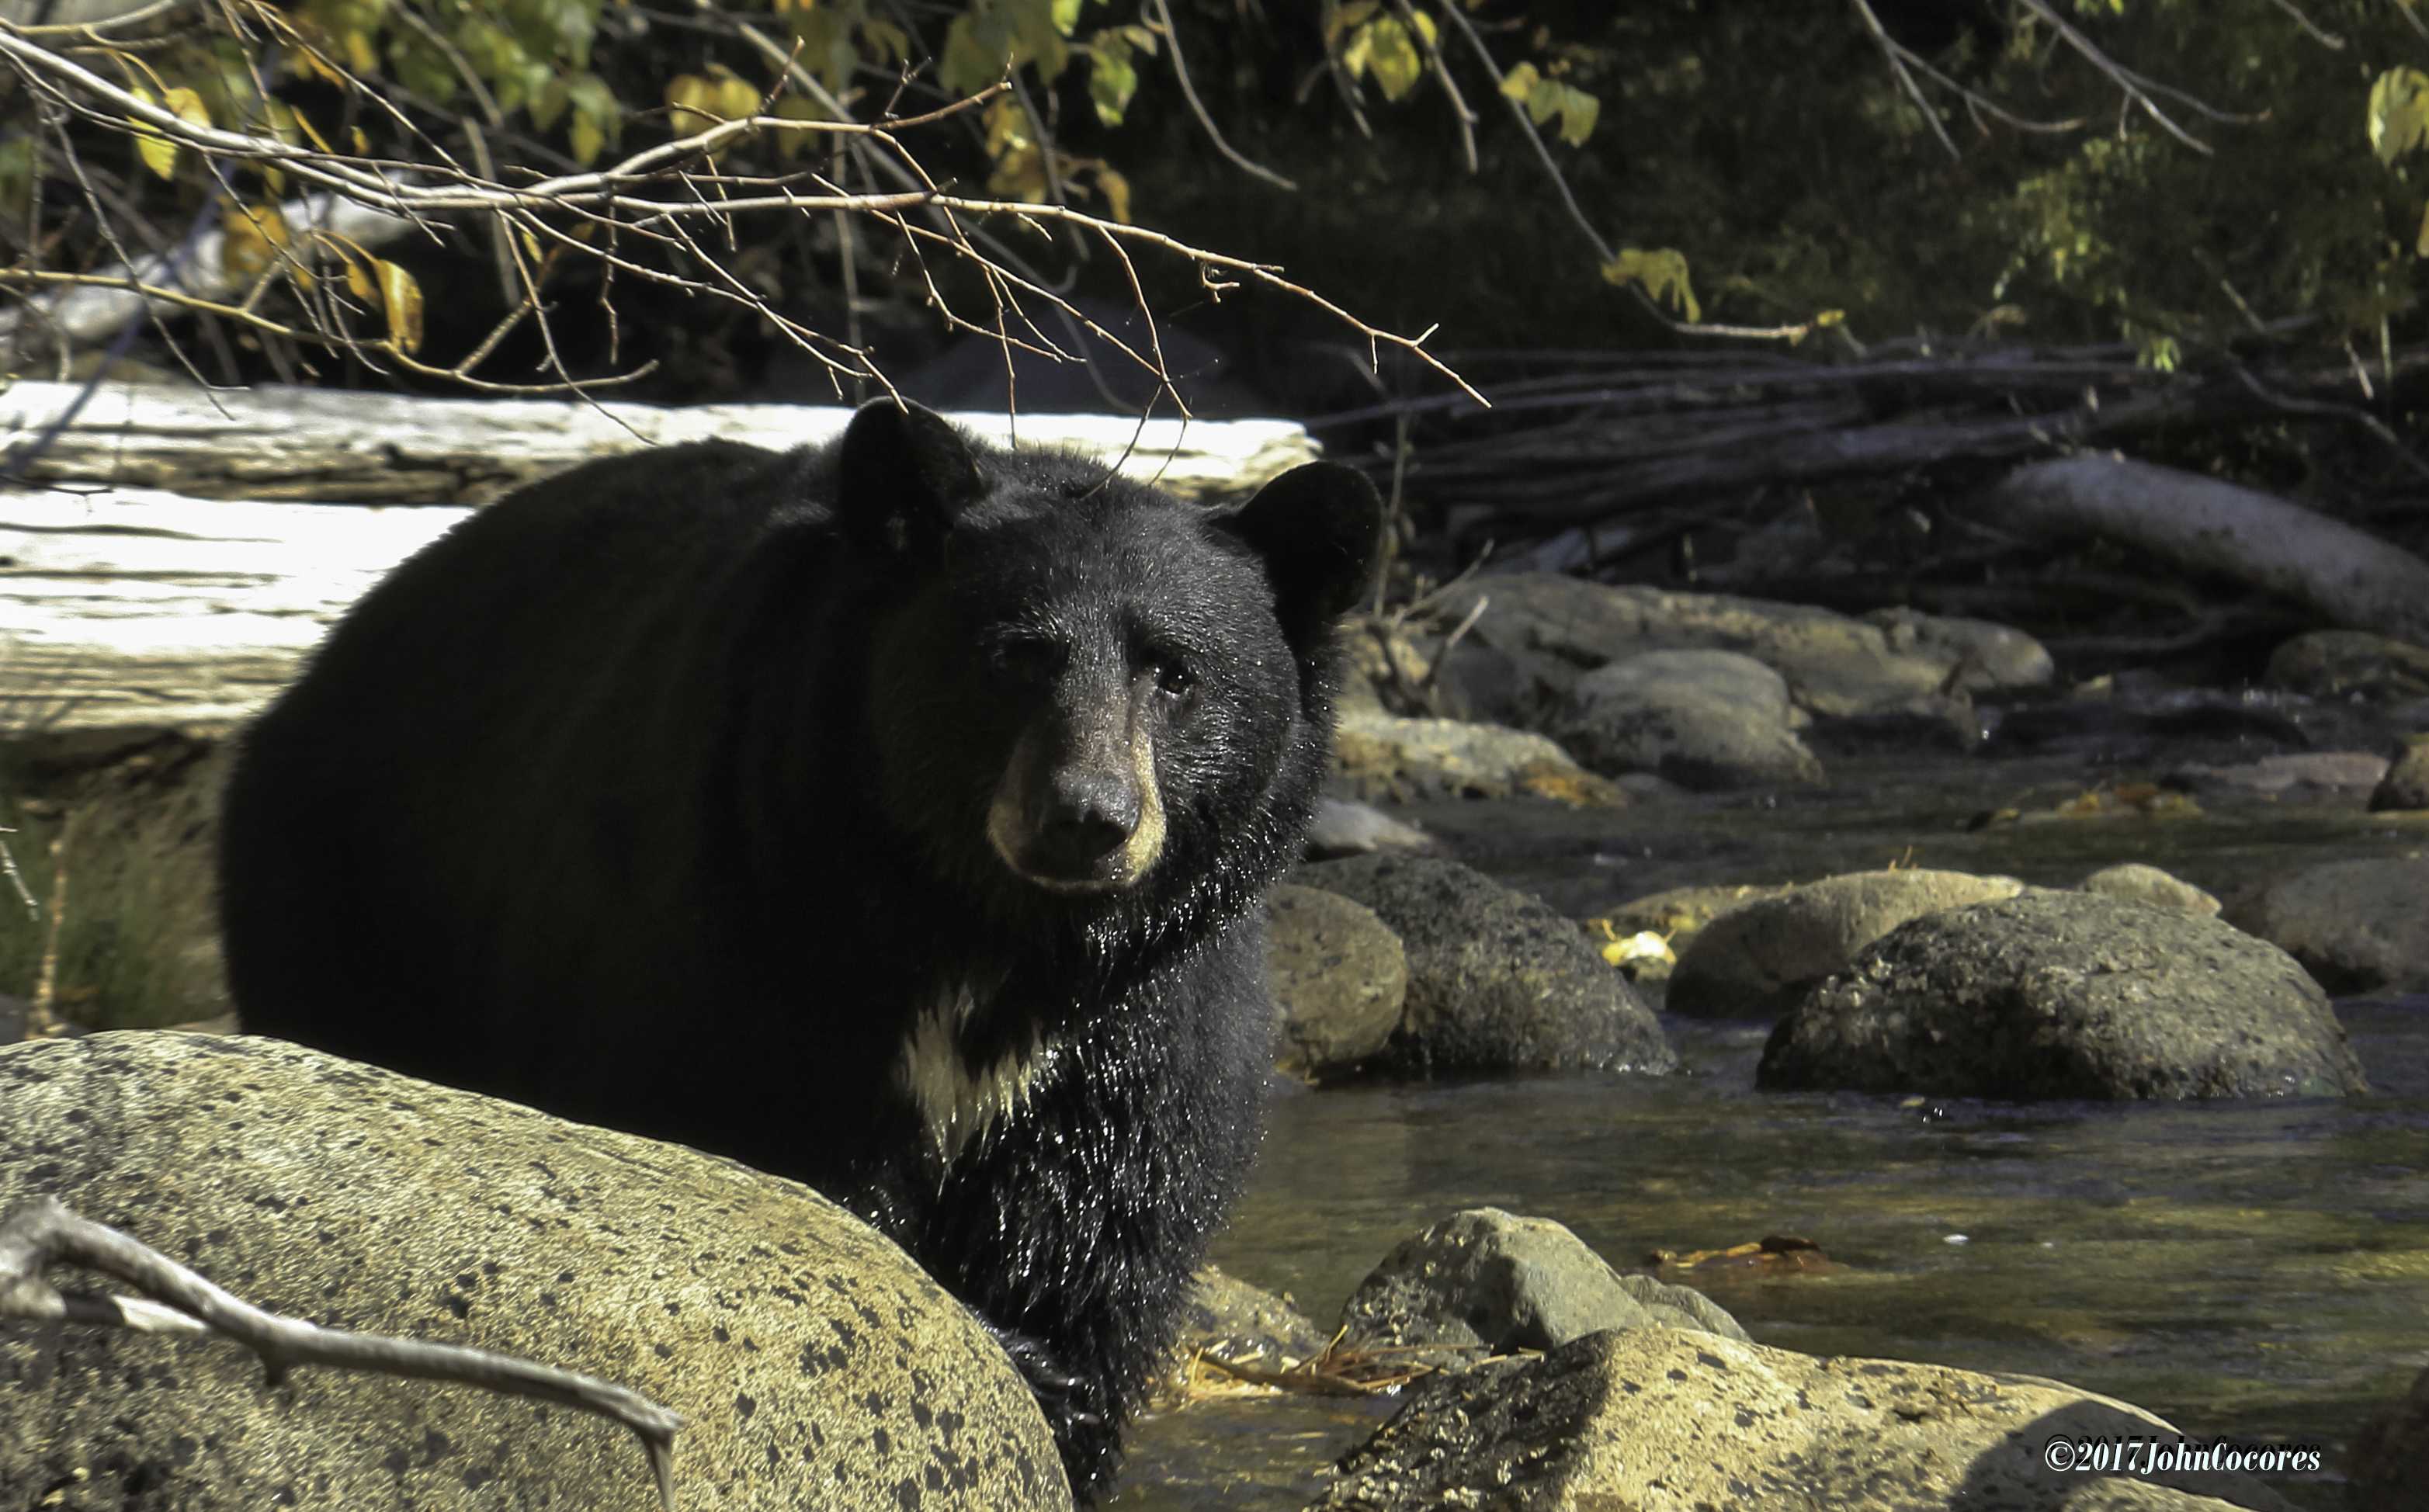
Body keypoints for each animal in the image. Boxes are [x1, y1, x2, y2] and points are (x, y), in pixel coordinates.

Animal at [214, 398, 1381, 1502]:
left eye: (1175, 673)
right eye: (1016, 654)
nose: (1085, 818)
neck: (985, 933)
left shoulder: (1139, 1039)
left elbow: (1093, 1256)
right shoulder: (747, 921)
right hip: (355, 885)